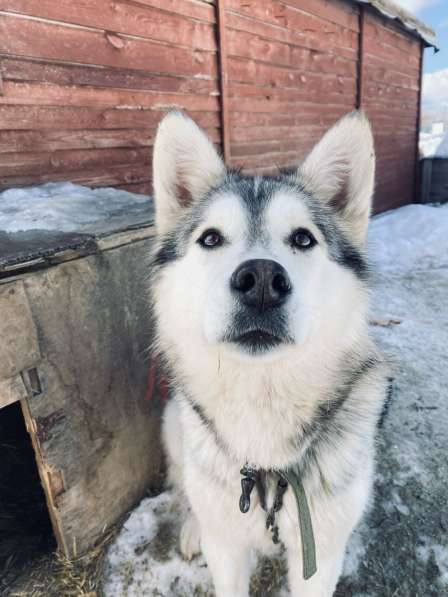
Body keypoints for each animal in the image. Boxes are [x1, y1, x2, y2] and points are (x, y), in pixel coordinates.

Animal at [151, 112, 388, 596]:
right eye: (210, 238)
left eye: (303, 238)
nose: (261, 279)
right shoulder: (227, 548)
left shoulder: (319, 555)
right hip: (174, 424)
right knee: (186, 487)